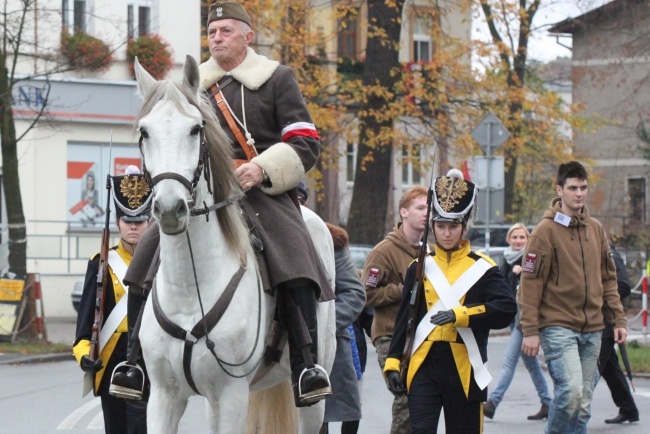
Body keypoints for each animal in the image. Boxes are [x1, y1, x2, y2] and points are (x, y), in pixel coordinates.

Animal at [132, 56, 334, 432]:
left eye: (195, 129)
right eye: (144, 131)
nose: (170, 209)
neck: (190, 287)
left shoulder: (231, 395)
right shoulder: (165, 397)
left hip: (312, 398)